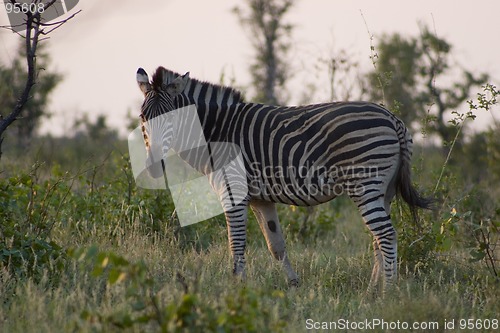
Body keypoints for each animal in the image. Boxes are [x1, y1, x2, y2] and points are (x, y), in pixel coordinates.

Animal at [135, 66, 432, 292]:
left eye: (170, 119)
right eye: (142, 117)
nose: (154, 166)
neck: (215, 131)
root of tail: (393, 118)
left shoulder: (233, 190)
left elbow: (236, 243)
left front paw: (236, 289)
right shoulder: (260, 199)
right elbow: (275, 245)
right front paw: (293, 285)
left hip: (365, 184)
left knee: (386, 234)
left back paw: (387, 293)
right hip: (384, 190)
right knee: (377, 238)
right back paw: (371, 291)